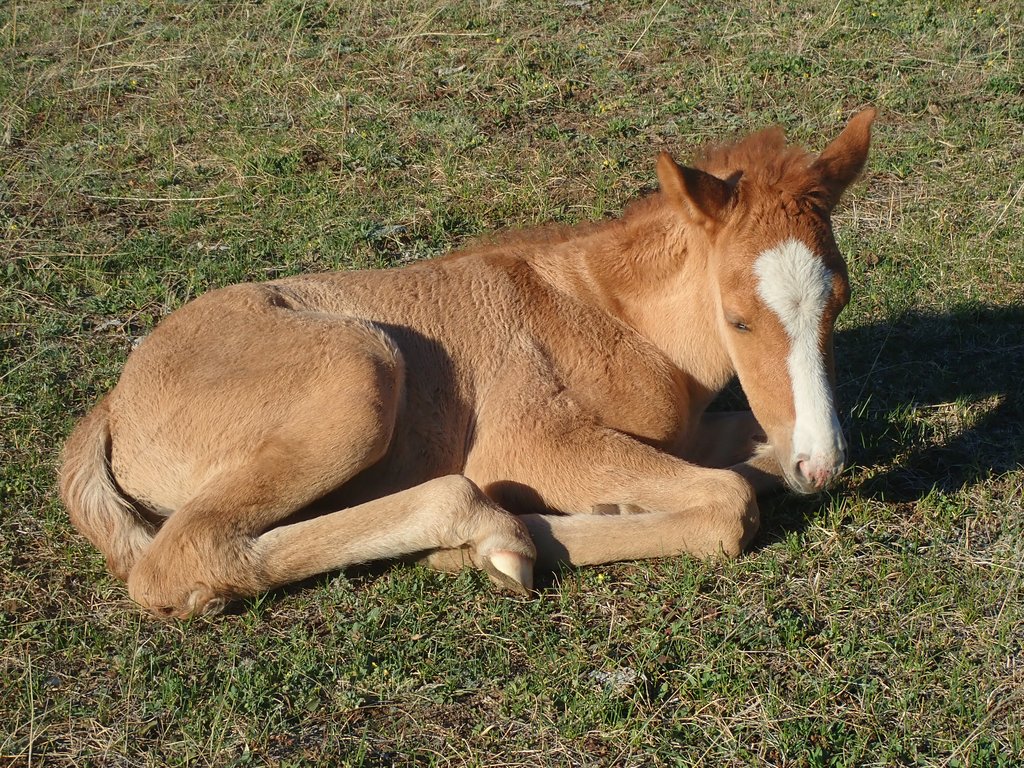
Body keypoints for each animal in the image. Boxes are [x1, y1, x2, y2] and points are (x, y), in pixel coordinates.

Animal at [58, 109, 872, 618]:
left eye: (839, 300)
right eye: (738, 317)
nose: (822, 464)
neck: (610, 315)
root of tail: (113, 406)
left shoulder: (692, 433)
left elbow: (752, 462)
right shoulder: (533, 441)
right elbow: (730, 504)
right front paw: (533, 531)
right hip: (360, 371)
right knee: (181, 555)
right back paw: (492, 538)